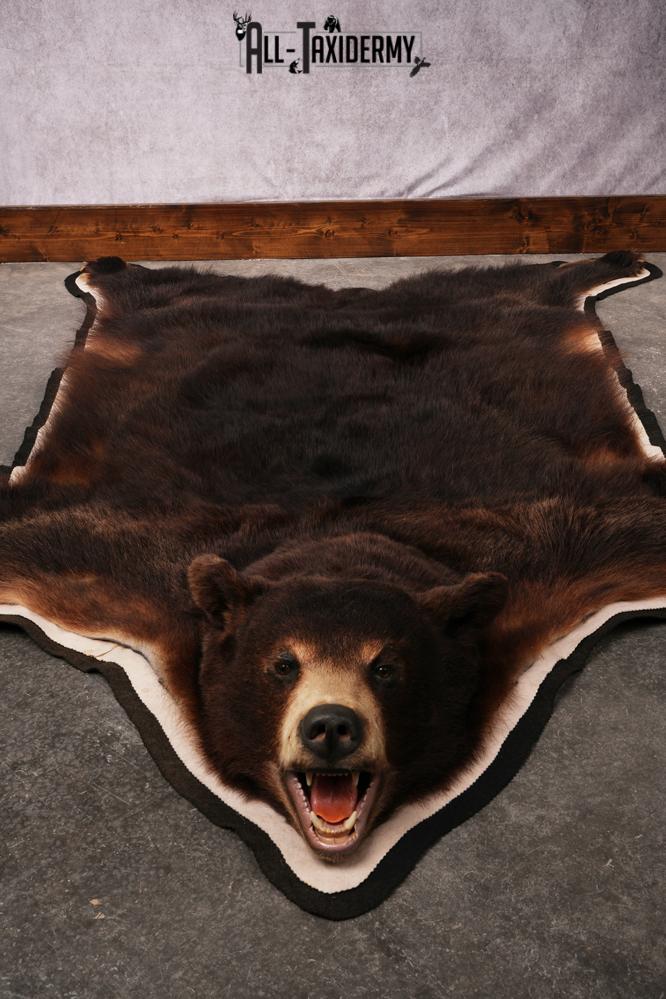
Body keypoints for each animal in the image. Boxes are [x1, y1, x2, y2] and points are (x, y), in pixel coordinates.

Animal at [1, 251, 664, 861]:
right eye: (282, 664)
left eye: (387, 666)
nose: (330, 725)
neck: (341, 538)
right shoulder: (131, 569)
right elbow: (43, 538)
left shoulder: (546, 557)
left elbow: (630, 525)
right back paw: (110, 266)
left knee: (515, 284)